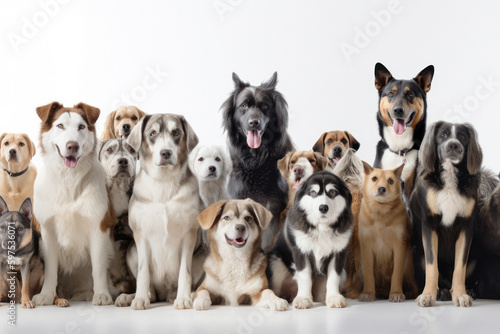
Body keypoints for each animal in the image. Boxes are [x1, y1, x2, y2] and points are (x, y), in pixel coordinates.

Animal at [31, 102, 115, 308]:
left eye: (81, 127)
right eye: (60, 126)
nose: (72, 146)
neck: (68, 179)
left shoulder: (98, 227)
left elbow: (98, 267)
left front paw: (102, 295)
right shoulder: (47, 230)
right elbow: (51, 268)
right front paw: (46, 295)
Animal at [268, 171, 354, 310]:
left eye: (332, 192)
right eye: (313, 192)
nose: (323, 208)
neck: (321, 227)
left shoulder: (339, 253)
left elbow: (333, 277)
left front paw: (334, 297)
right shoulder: (300, 251)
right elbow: (305, 276)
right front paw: (303, 298)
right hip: (275, 260)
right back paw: (278, 300)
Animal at [410, 121, 484, 306]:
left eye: (463, 137)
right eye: (443, 135)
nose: (453, 145)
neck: (450, 175)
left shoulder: (466, 225)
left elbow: (460, 267)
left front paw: (460, 294)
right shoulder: (429, 223)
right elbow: (432, 265)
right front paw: (428, 295)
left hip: (476, 259)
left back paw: (465, 291)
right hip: (417, 256)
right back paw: (441, 292)